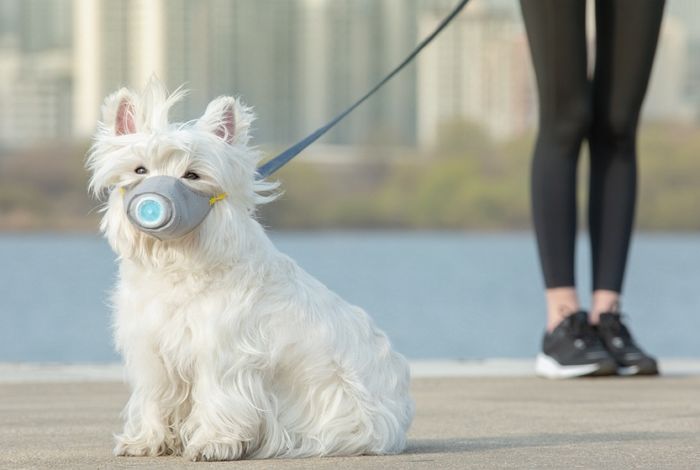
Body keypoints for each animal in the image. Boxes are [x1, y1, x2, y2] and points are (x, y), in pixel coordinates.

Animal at [87, 80, 416, 458]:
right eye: (140, 170)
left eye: (192, 175)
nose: (154, 202)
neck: (178, 260)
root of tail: (399, 419)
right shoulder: (152, 352)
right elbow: (154, 398)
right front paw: (145, 442)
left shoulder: (222, 354)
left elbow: (217, 398)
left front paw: (212, 443)